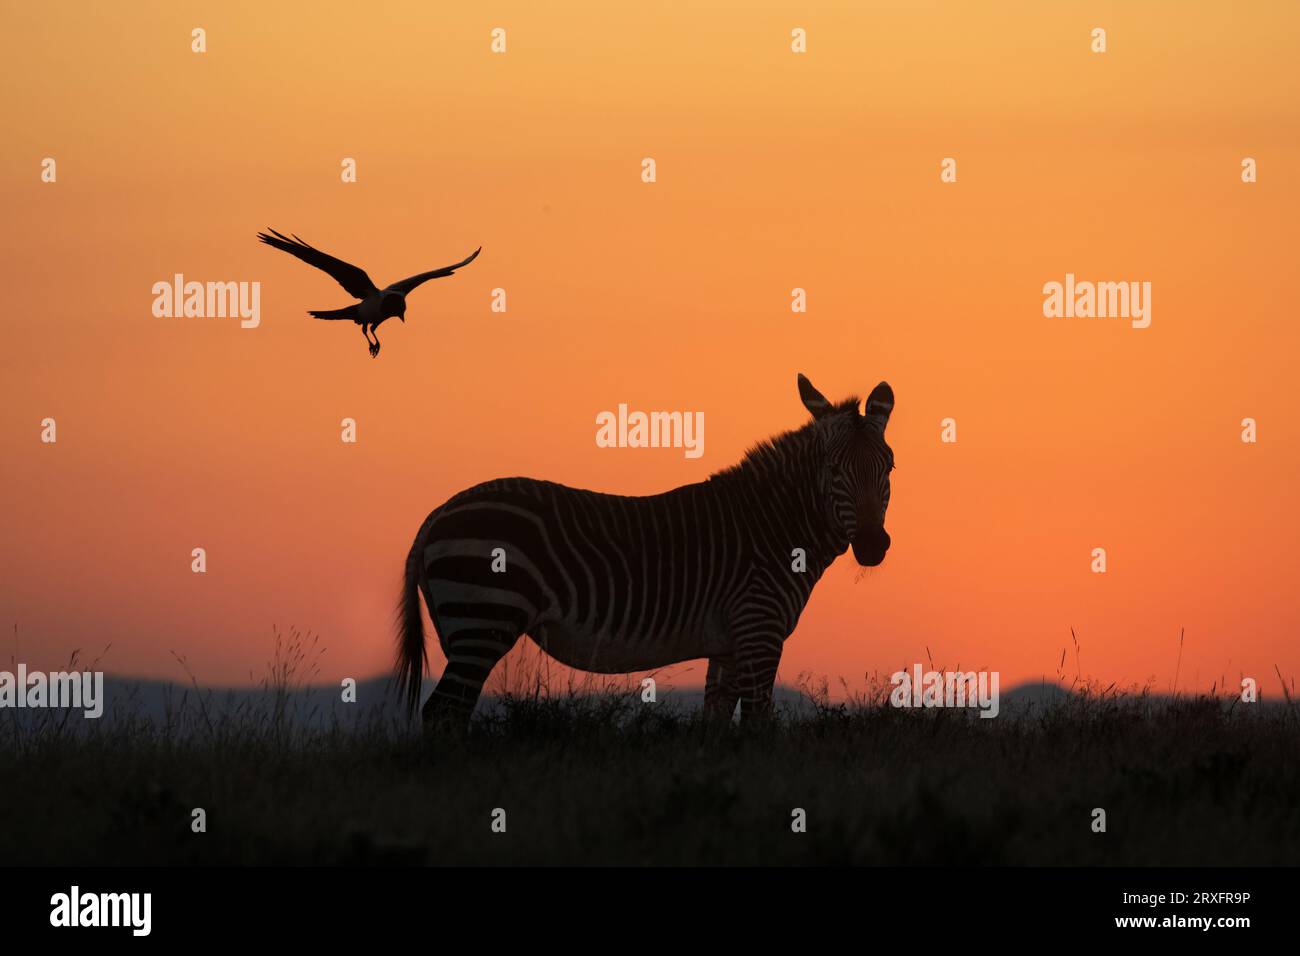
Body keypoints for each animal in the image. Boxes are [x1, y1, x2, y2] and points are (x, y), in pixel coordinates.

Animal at [395, 371, 894, 723]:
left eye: (888, 468)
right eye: (833, 470)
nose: (872, 545)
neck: (774, 525)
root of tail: (436, 514)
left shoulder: (729, 643)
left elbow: (716, 724)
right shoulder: (759, 630)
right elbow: (759, 724)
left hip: (465, 626)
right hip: (483, 619)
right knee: (443, 711)